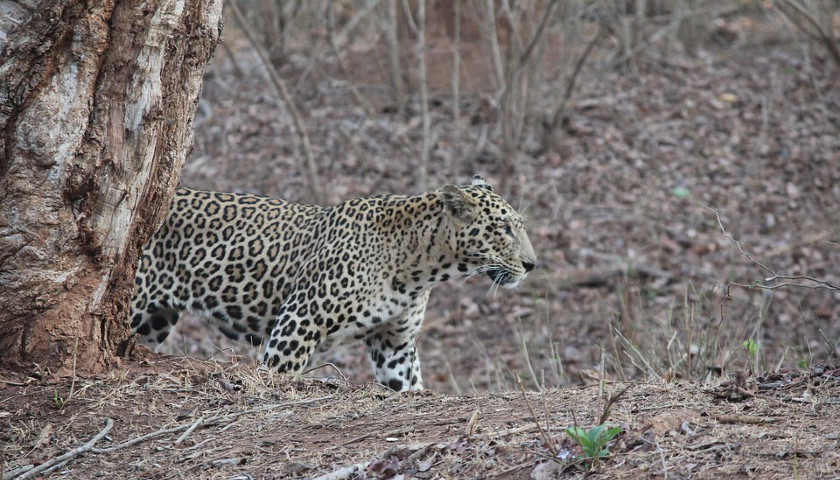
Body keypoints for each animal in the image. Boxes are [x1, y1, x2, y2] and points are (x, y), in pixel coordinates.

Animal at [131, 174, 540, 392]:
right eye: (503, 229)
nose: (532, 264)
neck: (420, 269)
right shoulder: (297, 323)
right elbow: (276, 374)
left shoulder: (395, 345)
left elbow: (407, 384)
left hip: (155, 322)